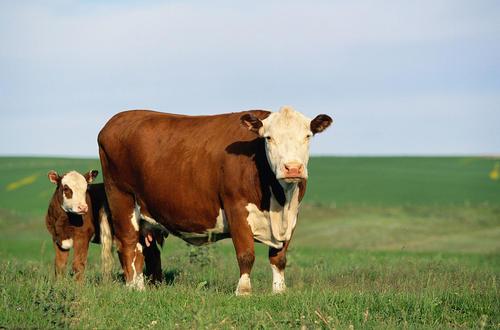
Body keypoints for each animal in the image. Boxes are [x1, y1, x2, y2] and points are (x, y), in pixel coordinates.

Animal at [97, 105, 332, 294]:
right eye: (269, 138)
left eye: (308, 136)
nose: (293, 168)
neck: (279, 201)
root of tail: (117, 119)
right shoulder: (236, 208)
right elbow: (246, 254)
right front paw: (243, 291)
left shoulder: (291, 216)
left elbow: (279, 257)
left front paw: (279, 291)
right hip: (121, 198)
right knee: (127, 243)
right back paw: (134, 287)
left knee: (147, 250)